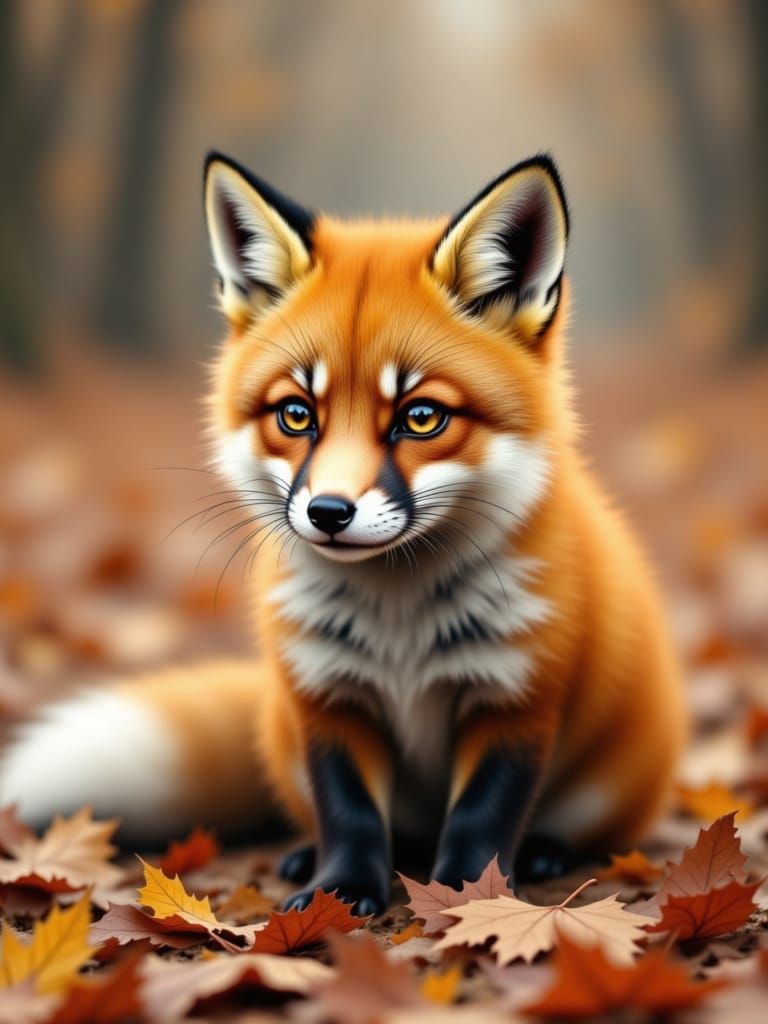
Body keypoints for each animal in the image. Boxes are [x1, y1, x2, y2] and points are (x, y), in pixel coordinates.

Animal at [1, 153, 687, 915]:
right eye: (297, 414)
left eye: (421, 417)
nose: (328, 511)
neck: (400, 623)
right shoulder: (326, 695)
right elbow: (349, 811)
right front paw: (342, 888)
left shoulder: (517, 697)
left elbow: (481, 818)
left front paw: (466, 894)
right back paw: (306, 856)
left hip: (606, 784)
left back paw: (541, 852)